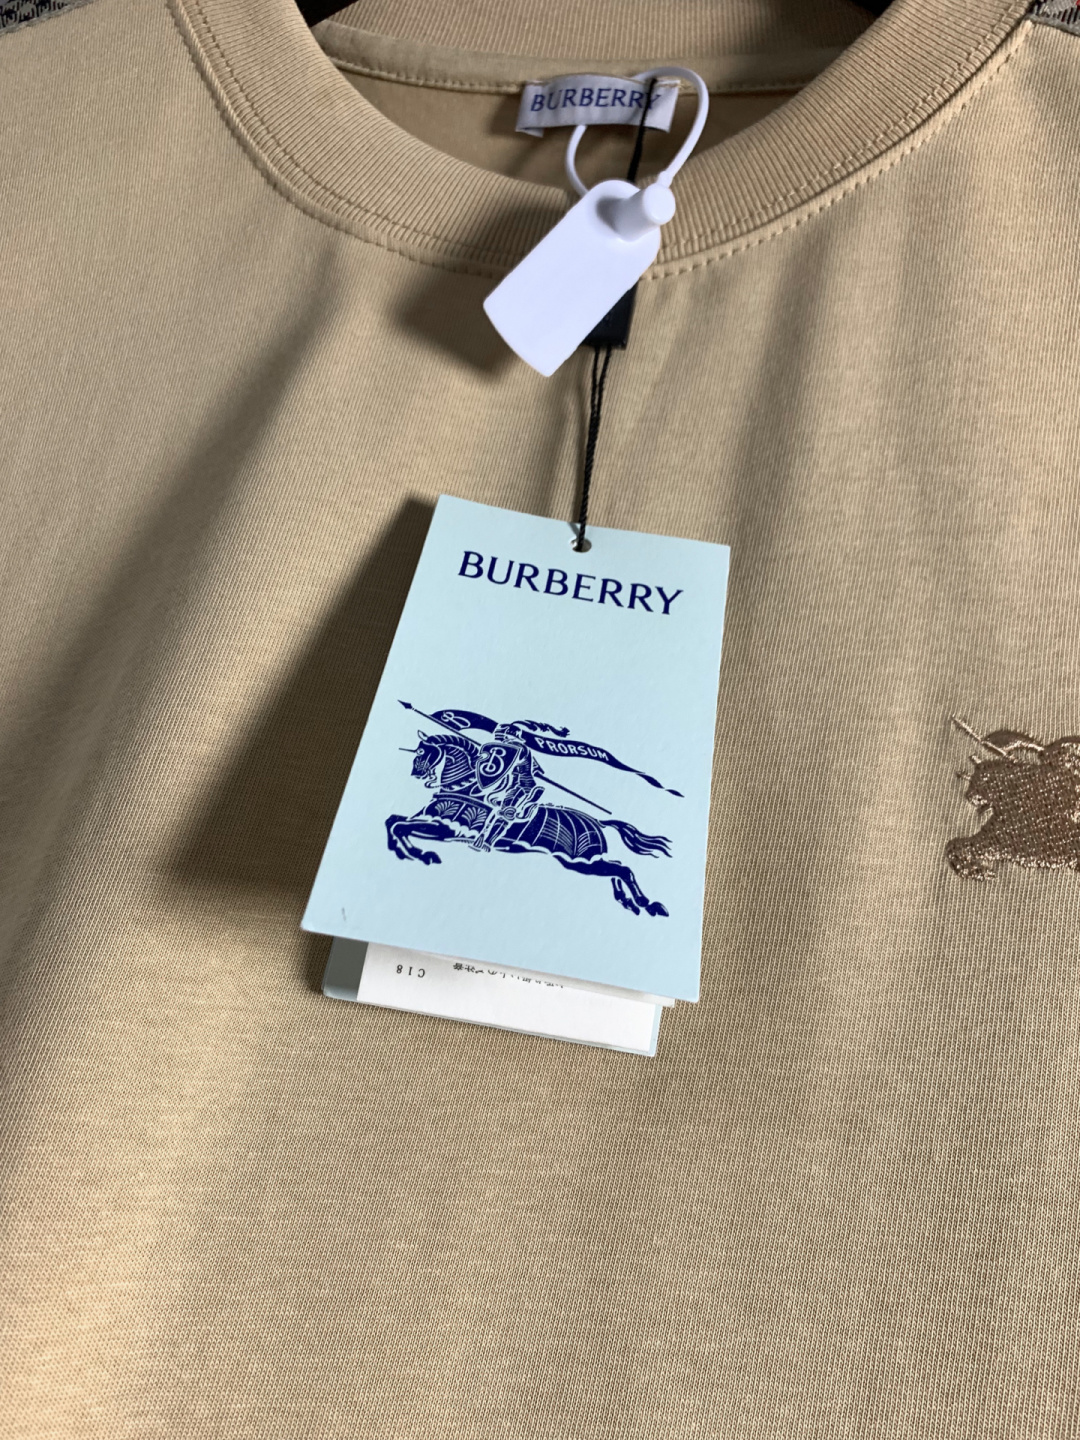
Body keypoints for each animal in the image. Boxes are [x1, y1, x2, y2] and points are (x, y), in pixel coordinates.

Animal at [385, 731, 672, 917]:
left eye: (424, 752)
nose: (417, 773)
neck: (466, 789)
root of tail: (598, 822)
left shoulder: (445, 828)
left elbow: (400, 826)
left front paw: (421, 854)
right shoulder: (429, 821)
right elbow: (394, 822)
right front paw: (406, 851)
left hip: (580, 862)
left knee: (622, 870)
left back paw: (647, 904)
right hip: (586, 862)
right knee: (617, 868)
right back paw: (628, 902)